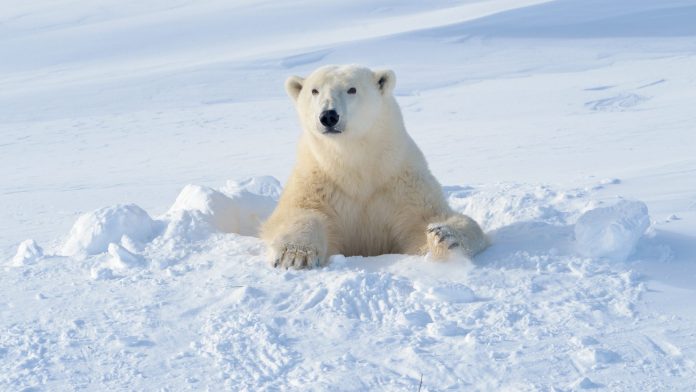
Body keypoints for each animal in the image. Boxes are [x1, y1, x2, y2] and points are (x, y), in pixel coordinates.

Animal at [260, 66, 490, 268]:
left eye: (352, 89)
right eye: (314, 90)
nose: (328, 116)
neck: (355, 166)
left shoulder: (402, 181)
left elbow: (426, 218)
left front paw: (444, 235)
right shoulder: (317, 179)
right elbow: (299, 212)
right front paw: (294, 255)